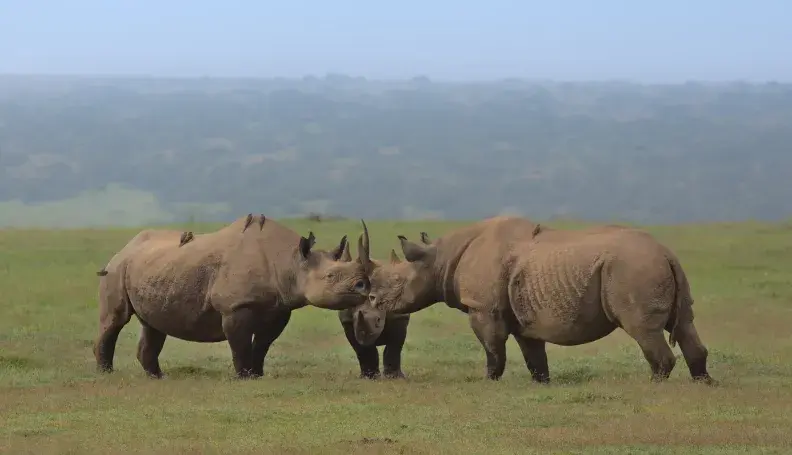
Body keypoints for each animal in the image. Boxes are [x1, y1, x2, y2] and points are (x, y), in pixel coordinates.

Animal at [93, 213, 372, 379]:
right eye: (331, 277)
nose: (364, 285)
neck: (290, 260)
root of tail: (126, 247)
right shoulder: (235, 307)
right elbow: (239, 343)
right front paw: (243, 376)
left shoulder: (279, 308)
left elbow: (262, 344)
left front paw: (257, 375)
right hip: (117, 267)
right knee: (116, 320)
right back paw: (106, 374)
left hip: (152, 267)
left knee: (153, 325)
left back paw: (157, 377)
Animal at [361, 216, 713, 385]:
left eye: (394, 283)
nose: (371, 303)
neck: (438, 259)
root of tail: (666, 253)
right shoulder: (523, 317)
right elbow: (534, 356)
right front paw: (542, 383)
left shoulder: (483, 308)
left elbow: (493, 349)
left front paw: (487, 381)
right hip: (656, 267)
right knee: (685, 324)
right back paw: (704, 383)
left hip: (632, 269)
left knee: (643, 330)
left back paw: (654, 385)